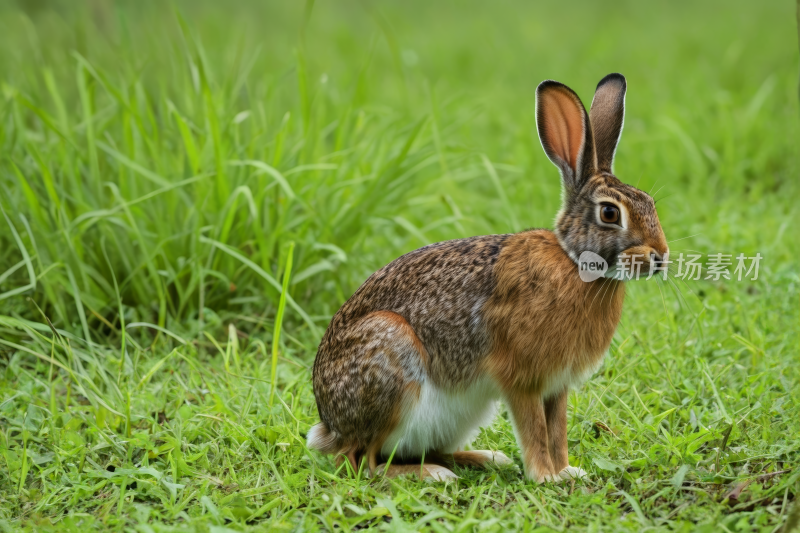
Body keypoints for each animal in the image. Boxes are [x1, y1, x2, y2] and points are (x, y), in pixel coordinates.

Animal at [306, 74, 668, 482]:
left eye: (649, 204)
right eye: (609, 213)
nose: (660, 257)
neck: (573, 262)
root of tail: (329, 424)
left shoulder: (556, 387)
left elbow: (556, 430)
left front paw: (567, 472)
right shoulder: (522, 379)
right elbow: (535, 429)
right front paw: (545, 477)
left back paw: (485, 458)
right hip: (391, 366)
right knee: (362, 461)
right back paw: (431, 474)